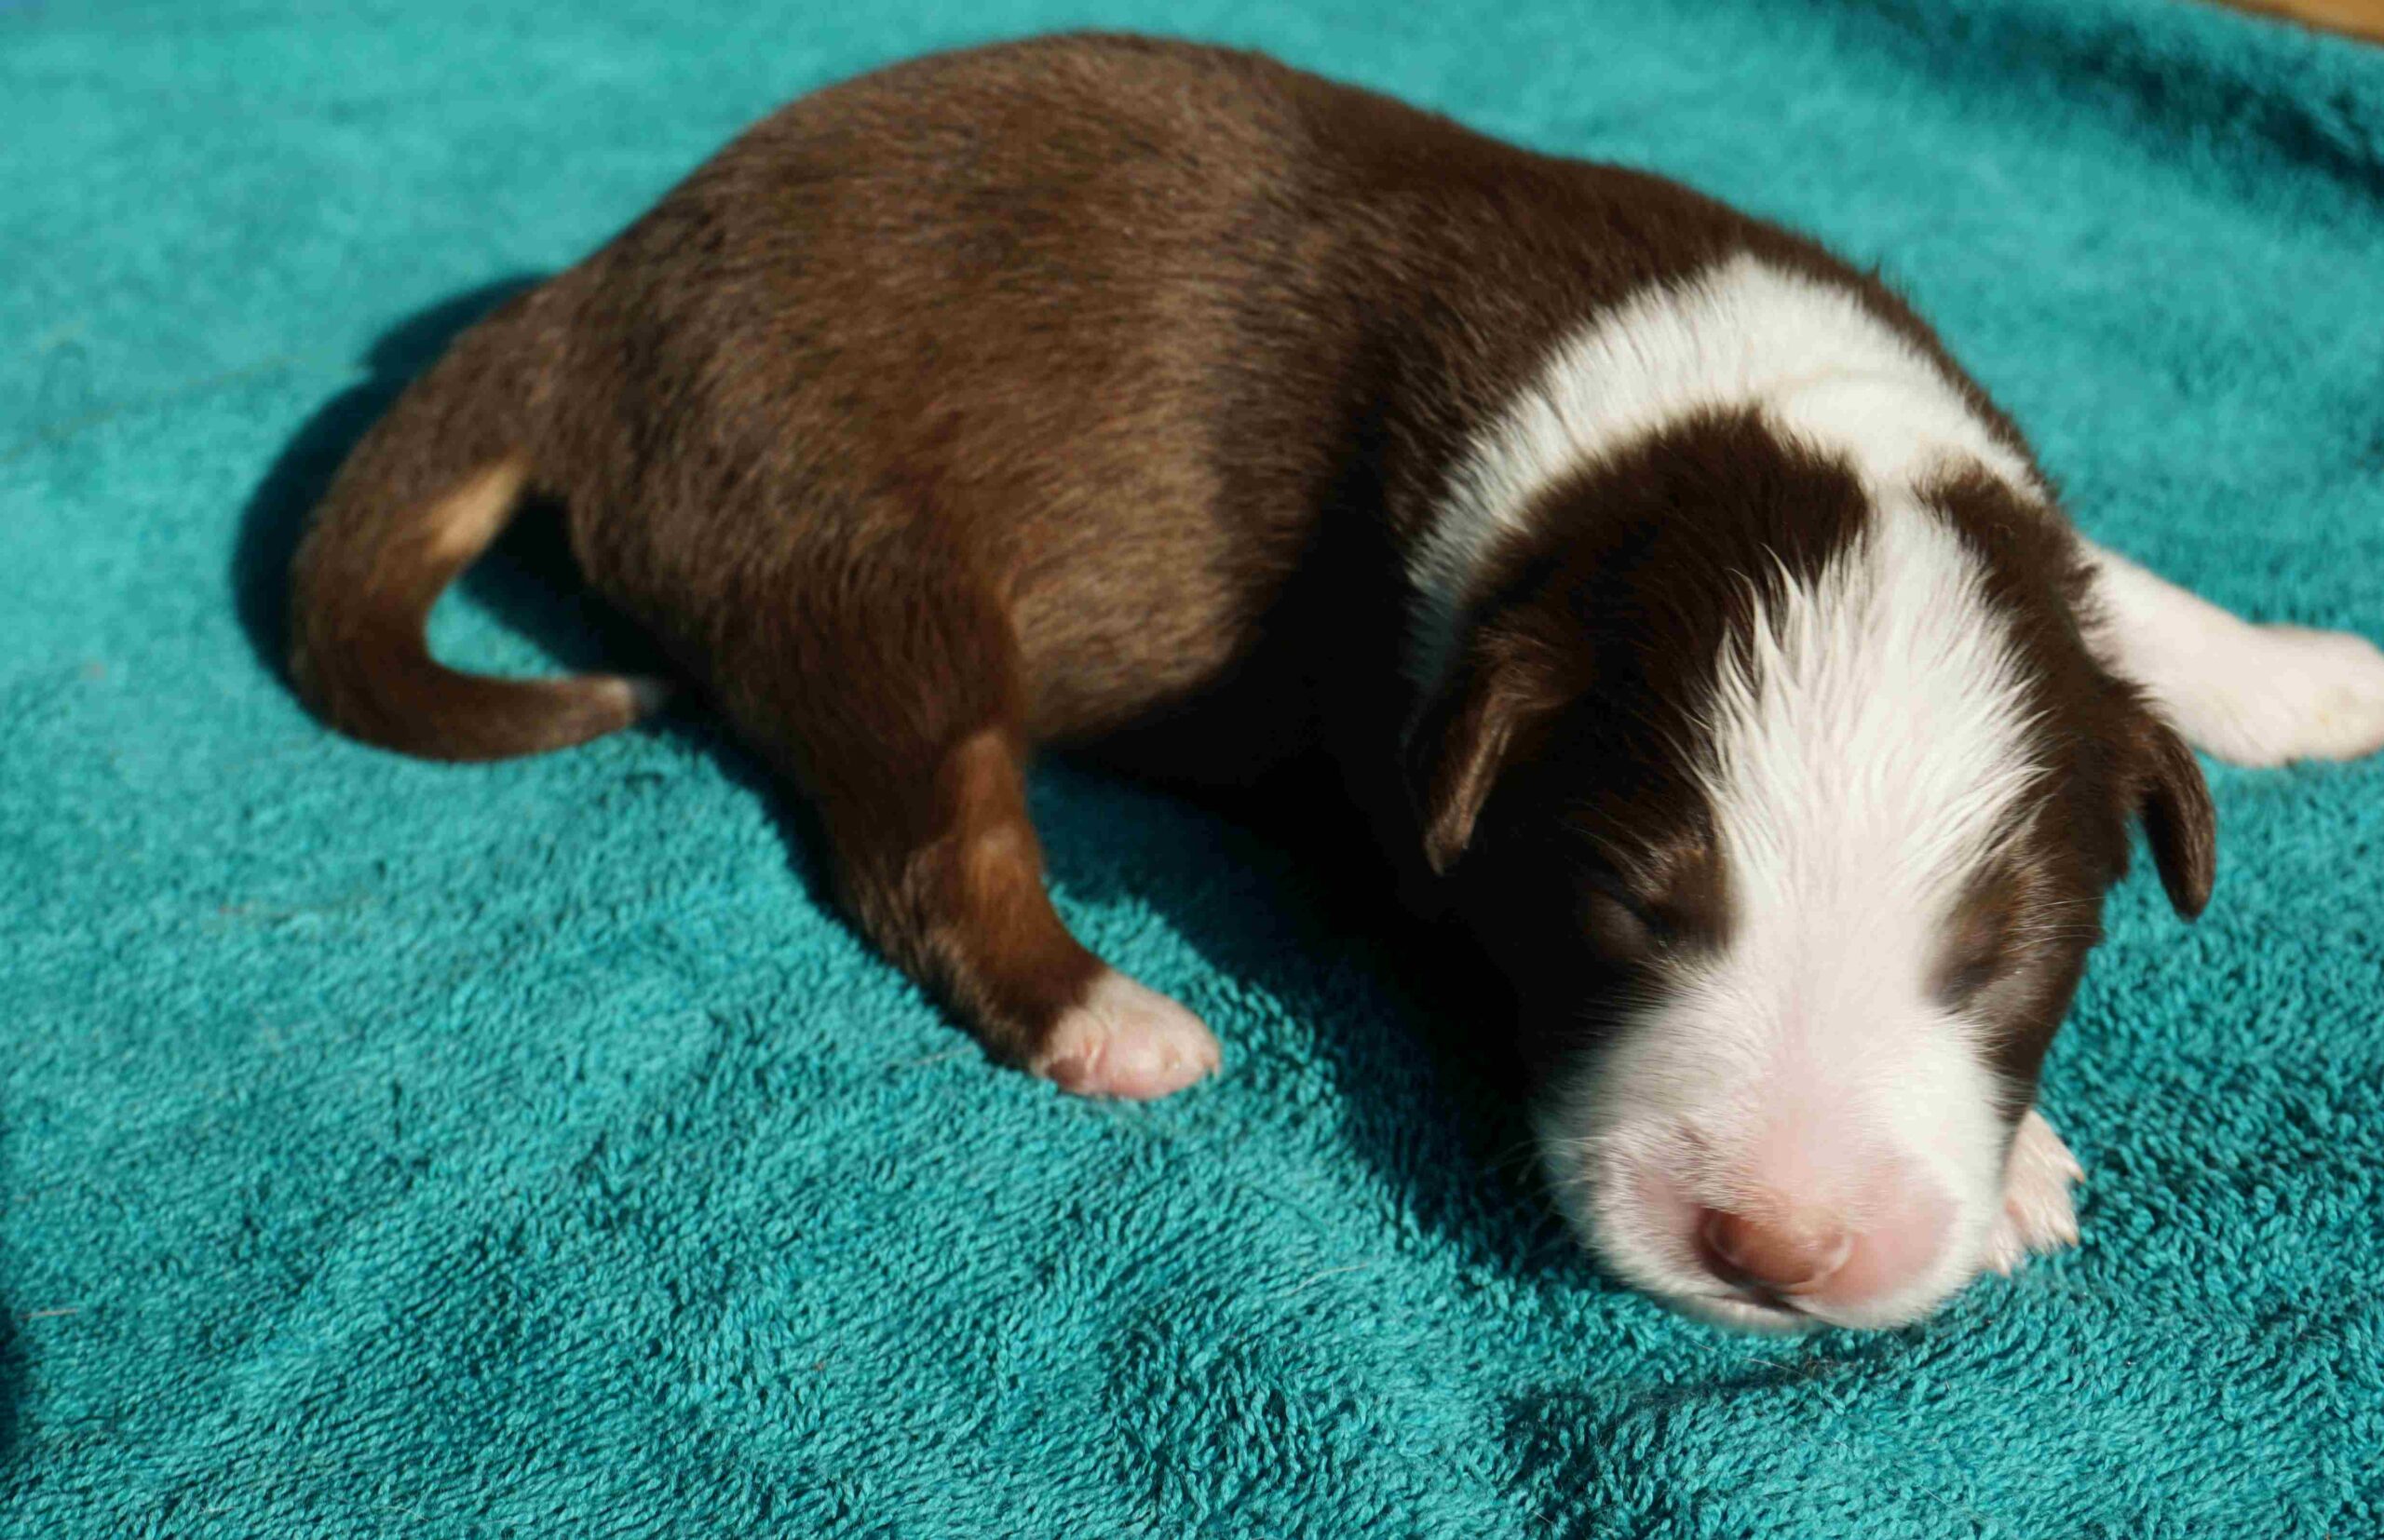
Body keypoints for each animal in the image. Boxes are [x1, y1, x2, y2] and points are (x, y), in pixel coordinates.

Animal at [287, 34, 2384, 1329]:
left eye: (2001, 948)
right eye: (1631, 907)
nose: (1779, 1244)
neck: (1726, 417)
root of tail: (595, 292)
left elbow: (2114, 591)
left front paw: (2300, 672)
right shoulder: (1411, 800)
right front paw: (2029, 1164)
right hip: (856, 553)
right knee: (928, 839)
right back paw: (1106, 1012)